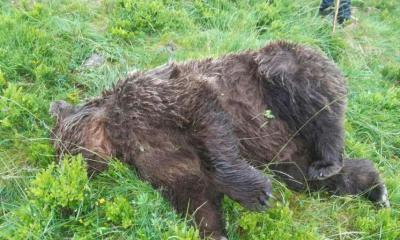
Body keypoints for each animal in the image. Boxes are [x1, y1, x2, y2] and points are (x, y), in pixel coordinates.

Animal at [48, 40, 390, 239]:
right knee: (309, 178)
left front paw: (258, 194)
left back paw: (330, 158)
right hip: (289, 153)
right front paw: (215, 231)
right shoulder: (153, 155)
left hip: (281, 73)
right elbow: (192, 192)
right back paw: (373, 188)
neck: (119, 133)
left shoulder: (158, 98)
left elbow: (207, 122)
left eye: (64, 148)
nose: (66, 171)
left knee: (311, 99)